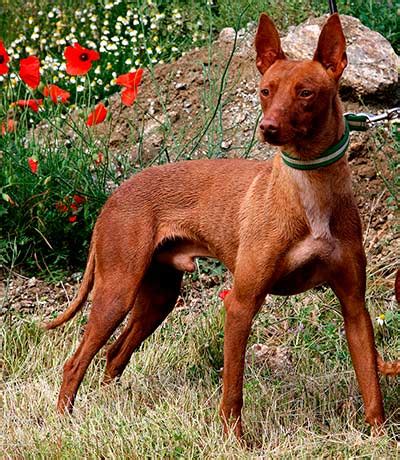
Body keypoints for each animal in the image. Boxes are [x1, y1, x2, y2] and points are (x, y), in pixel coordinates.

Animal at [46, 13, 396, 438]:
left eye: (306, 93)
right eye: (265, 91)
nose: (268, 128)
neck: (310, 188)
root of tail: (113, 197)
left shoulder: (355, 308)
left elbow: (371, 382)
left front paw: (378, 435)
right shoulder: (241, 304)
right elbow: (232, 388)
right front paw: (235, 439)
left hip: (158, 297)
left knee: (114, 354)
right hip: (118, 290)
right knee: (76, 361)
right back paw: (62, 422)